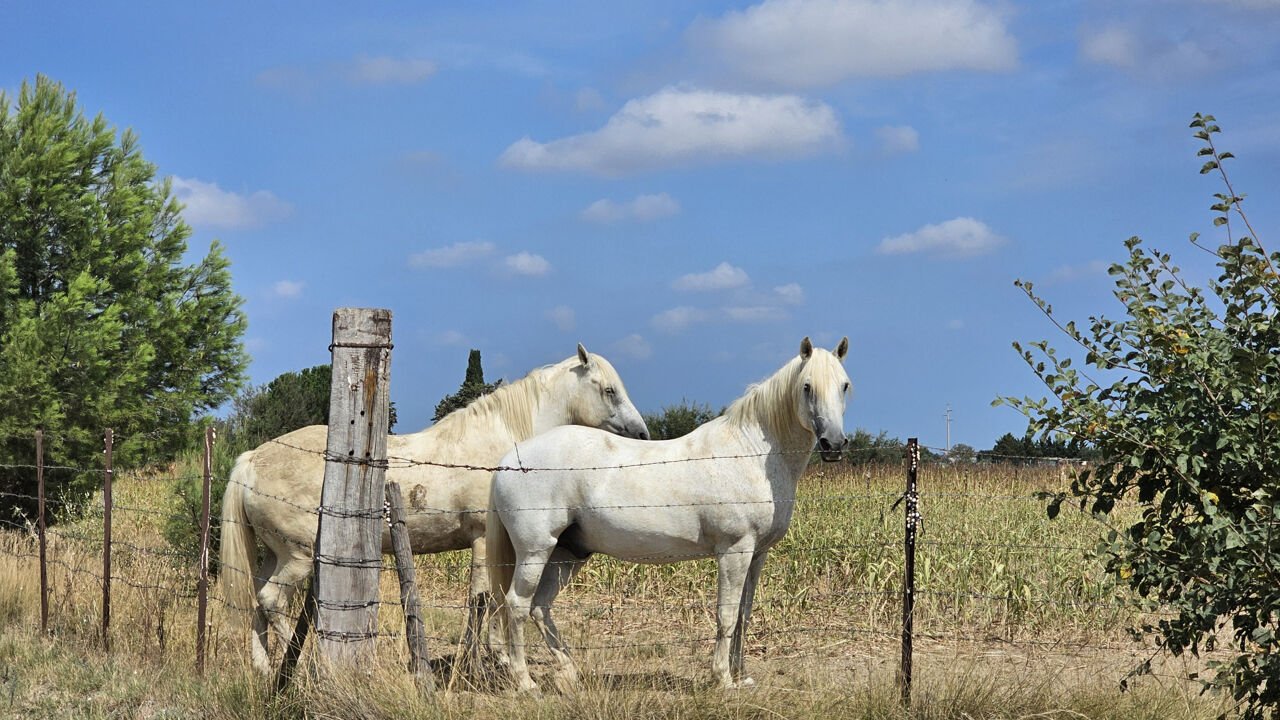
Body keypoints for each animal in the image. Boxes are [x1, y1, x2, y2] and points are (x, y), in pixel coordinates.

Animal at [218, 345, 650, 676]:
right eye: (609, 390)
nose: (642, 433)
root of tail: (253, 459)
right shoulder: (484, 542)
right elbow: (485, 598)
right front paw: (489, 657)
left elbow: (485, 599)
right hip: (299, 557)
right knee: (271, 600)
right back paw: (304, 664)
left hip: (275, 555)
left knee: (257, 599)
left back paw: (264, 667)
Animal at [488, 335, 849, 691]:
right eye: (807, 386)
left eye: (845, 385)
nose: (834, 444)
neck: (751, 454)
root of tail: (508, 460)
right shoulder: (735, 551)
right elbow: (726, 615)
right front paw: (723, 679)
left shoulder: (757, 554)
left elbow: (743, 615)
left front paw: (742, 676)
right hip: (536, 551)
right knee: (516, 605)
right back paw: (525, 682)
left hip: (567, 554)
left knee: (539, 607)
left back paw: (569, 672)